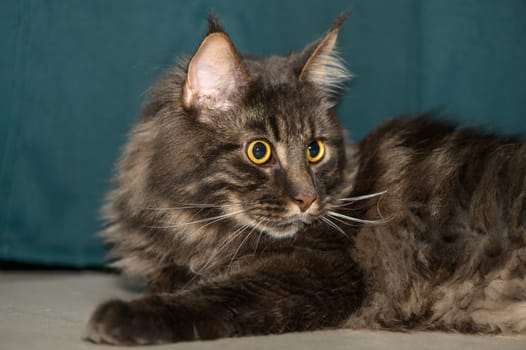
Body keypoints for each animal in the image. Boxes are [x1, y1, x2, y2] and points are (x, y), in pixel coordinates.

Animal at [84, 13, 524, 344]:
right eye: (259, 151)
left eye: (314, 149)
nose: (307, 199)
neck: (195, 221)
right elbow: (173, 277)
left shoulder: (320, 268)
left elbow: (219, 294)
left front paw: (129, 316)